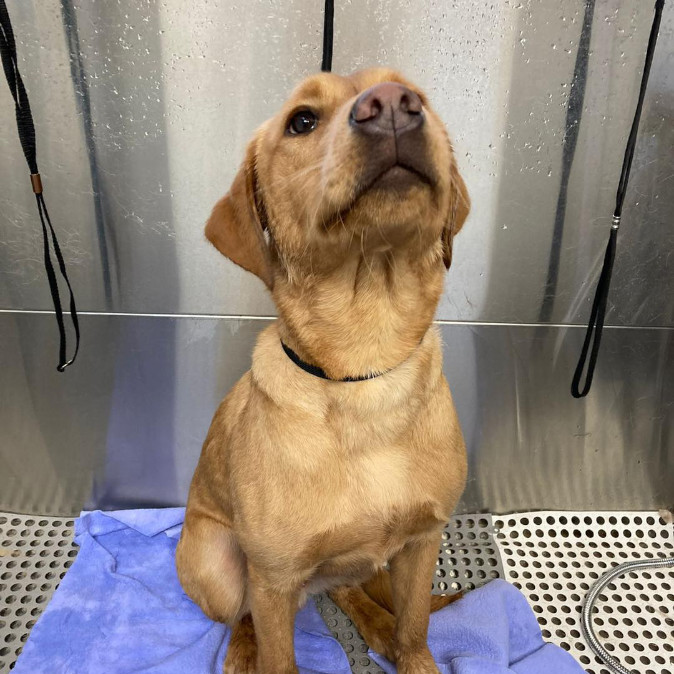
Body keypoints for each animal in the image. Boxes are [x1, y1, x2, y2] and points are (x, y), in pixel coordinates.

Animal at [176, 65, 470, 668]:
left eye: (416, 95)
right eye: (302, 121)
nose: (393, 105)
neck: (364, 370)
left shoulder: (422, 542)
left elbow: (415, 628)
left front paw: (409, 651)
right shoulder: (271, 580)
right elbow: (279, 658)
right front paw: (260, 655)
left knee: (346, 588)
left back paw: (376, 626)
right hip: (222, 570)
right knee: (241, 613)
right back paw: (241, 651)